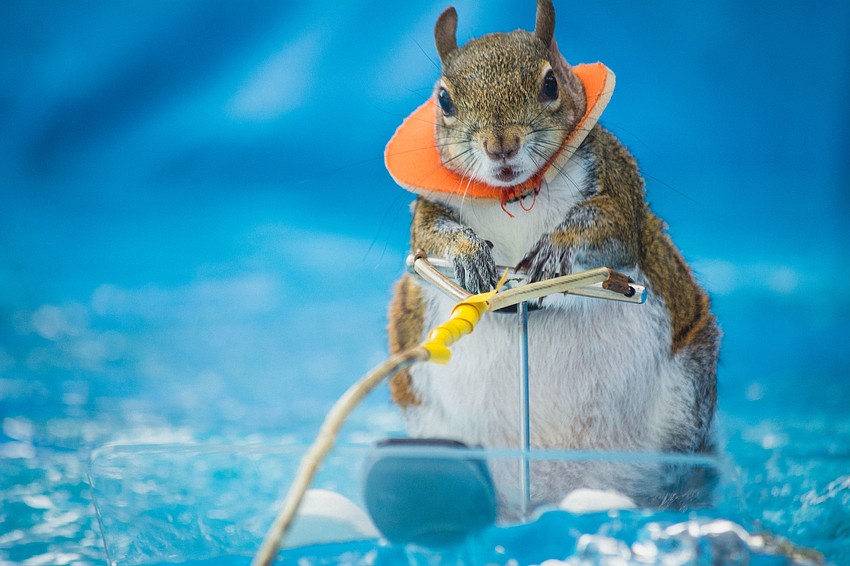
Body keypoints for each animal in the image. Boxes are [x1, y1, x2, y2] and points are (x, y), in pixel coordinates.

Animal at [387, 0, 719, 509]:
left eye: (550, 84)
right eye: (444, 101)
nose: (501, 146)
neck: (514, 194)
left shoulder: (615, 184)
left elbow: (608, 225)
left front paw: (551, 253)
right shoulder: (427, 212)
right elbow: (428, 239)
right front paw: (469, 255)